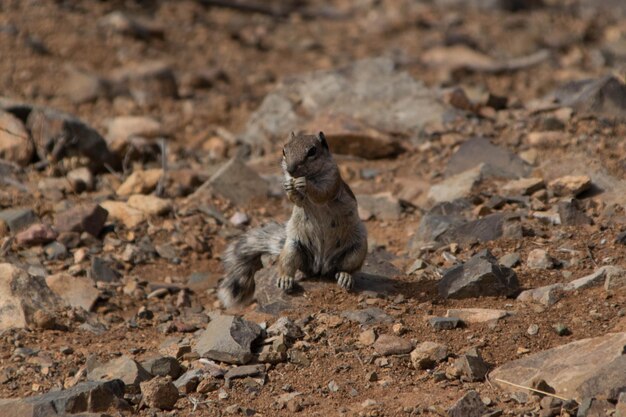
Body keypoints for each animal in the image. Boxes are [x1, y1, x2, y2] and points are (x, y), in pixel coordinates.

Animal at [218, 132, 368, 308]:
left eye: (312, 151)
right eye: (284, 150)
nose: (290, 169)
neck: (309, 175)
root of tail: (320, 267)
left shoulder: (332, 179)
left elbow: (321, 194)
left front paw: (305, 184)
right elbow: (296, 200)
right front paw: (290, 188)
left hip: (357, 250)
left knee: (347, 268)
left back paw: (345, 277)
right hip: (292, 248)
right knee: (289, 266)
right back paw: (285, 280)